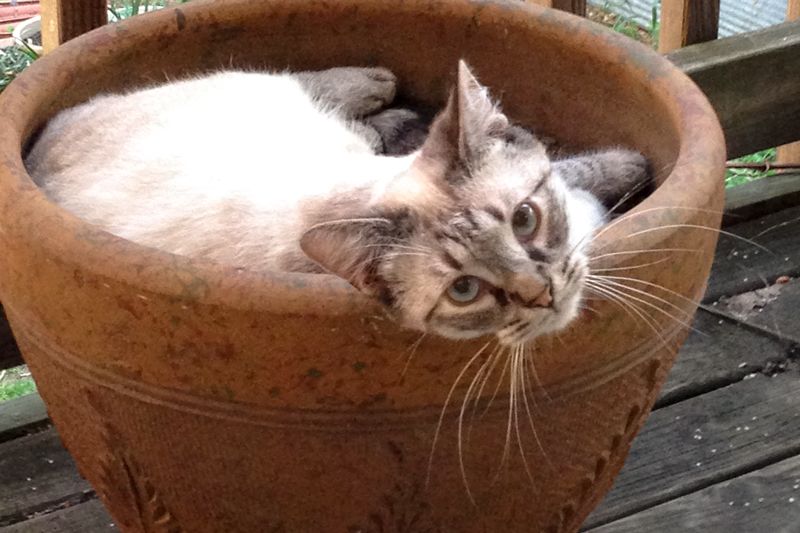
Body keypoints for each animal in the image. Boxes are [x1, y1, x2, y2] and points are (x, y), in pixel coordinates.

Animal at [26, 61, 648, 344]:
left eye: (524, 220)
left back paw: (381, 93)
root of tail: (33, 152)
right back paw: (378, 86)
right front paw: (635, 166)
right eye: (464, 290)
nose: (541, 294)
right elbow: (580, 172)